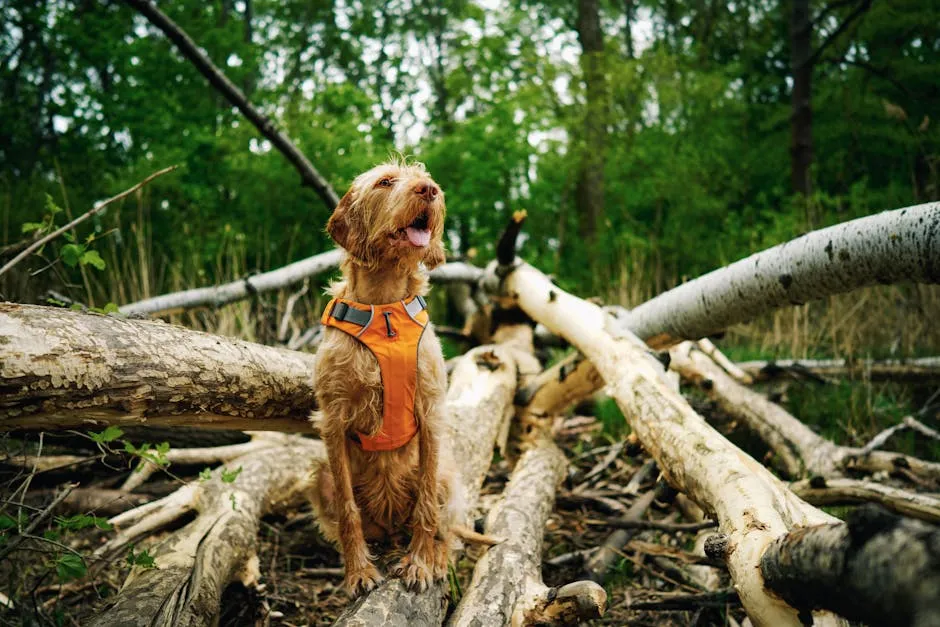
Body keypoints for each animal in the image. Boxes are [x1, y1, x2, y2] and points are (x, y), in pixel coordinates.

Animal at [310, 159, 470, 596]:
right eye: (385, 182)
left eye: (427, 179)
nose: (429, 190)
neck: (384, 312)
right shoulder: (333, 420)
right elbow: (348, 510)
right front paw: (358, 571)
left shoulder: (431, 410)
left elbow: (427, 507)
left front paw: (419, 563)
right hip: (320, 475)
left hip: (448, 475)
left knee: (446, 528)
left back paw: (433, 554)